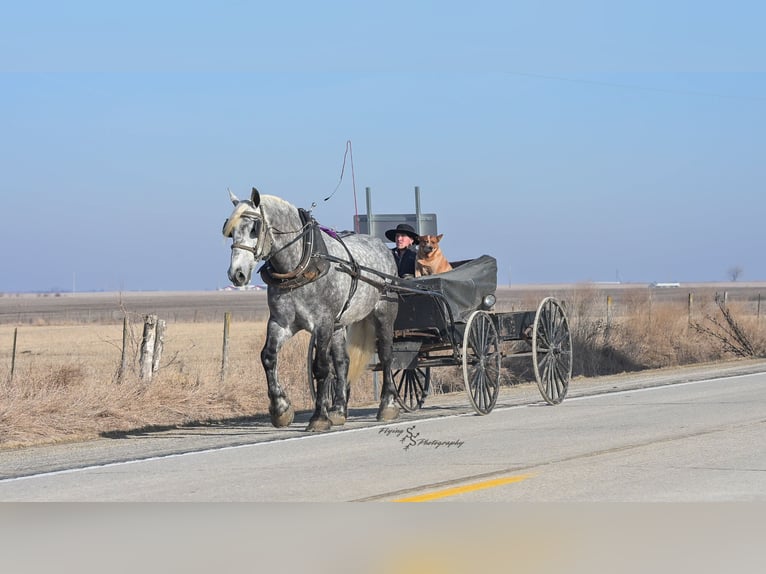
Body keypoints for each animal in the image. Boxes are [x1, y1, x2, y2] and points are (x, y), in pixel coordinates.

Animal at [223, 187, 400, 431]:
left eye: (253, 228)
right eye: (230, 232)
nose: (236, 274)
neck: (300, 264)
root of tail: (382, 246)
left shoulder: (322, 323)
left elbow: (321, 367)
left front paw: (319, 417)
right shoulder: (281, 323)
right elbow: (268, 357)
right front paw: (281, 409)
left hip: (384, 312)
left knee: (386, 355)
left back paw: (387, 406)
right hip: (339, 323)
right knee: (343, 362)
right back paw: (338, 409)